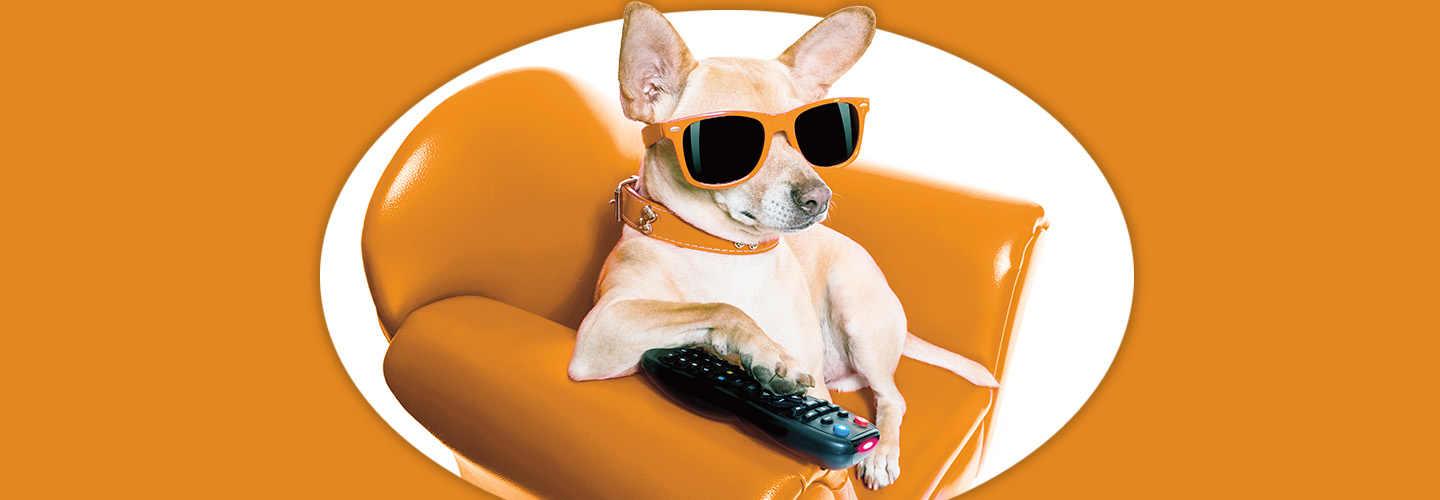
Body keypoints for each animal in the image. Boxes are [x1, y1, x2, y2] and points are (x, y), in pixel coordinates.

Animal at [567, 1, 996, 492]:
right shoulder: (601, 329)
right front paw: (766, 353)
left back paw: (882, 451)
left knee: (892, 397)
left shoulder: (817, 391)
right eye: (727, 143)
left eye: (812, 132)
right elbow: (721, 308)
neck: (726, 251)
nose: (818, 198)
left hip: (858, 315)